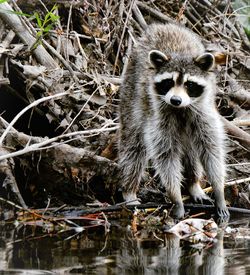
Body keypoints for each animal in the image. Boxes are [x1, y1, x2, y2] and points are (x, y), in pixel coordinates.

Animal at [118, 22, 229, 219]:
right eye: (169, 82)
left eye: (189, 84)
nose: (175, 100)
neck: (181, 109)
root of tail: (162, 25)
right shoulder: (159, 116)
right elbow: (166, 155)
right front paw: (175, 196)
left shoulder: (204, 113)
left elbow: (211, 150)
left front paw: (218, 190)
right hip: (131, 91)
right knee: (133, 144)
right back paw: (129, 189)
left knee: (191, 150)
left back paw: (193, 184)